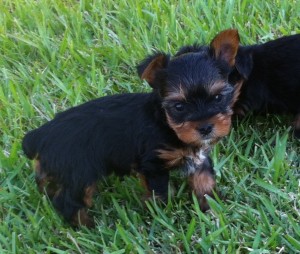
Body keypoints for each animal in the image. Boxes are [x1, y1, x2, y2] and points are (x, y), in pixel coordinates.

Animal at [21, 29, 241, 226]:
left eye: (218, 97)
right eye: (179, 107)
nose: (205, 128)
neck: (165, 124)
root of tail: (40, 135)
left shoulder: (199, 159)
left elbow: (204, 182)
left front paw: (212, 209)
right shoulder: (153, 164)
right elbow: (160, 192)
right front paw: (161, 215)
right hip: (80, 173)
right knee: (68, 201)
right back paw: (88, 226)